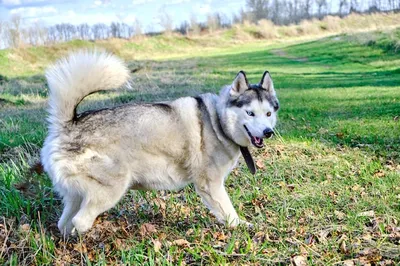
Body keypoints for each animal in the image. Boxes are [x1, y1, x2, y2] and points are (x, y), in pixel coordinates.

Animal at [39, 50, 278, 235]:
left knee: (64, 223)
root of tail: (68, 125)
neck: (218, 122)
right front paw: (242, 227)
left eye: (268, 113)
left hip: (75, 195)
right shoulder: (210, 184)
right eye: (250, 113)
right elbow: (228, 212)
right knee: (80, 221)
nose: (268, 132)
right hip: (112, 188)